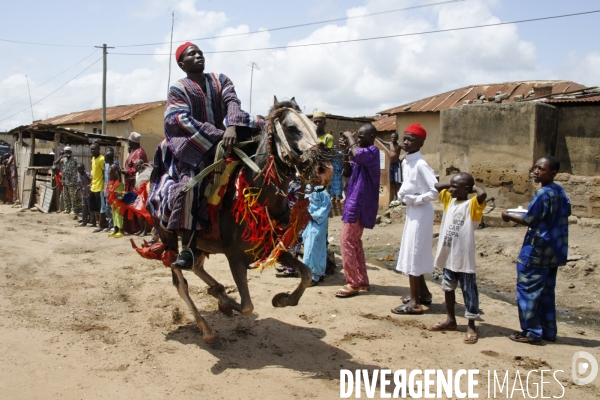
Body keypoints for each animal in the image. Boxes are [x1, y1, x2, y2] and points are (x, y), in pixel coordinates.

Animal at [144, 97, 336, 344]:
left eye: (315, 128)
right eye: (292, 128)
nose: (324, 170)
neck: (258, 199)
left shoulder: (271, 247)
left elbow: (306, 274)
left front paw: (281, 299)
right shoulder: (235, 257)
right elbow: (246, 306)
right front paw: (223, 301)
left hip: (199, 243)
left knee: (196, 266)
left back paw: (216, 289)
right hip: (167, 236)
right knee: (181, 282)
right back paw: (206, 327)